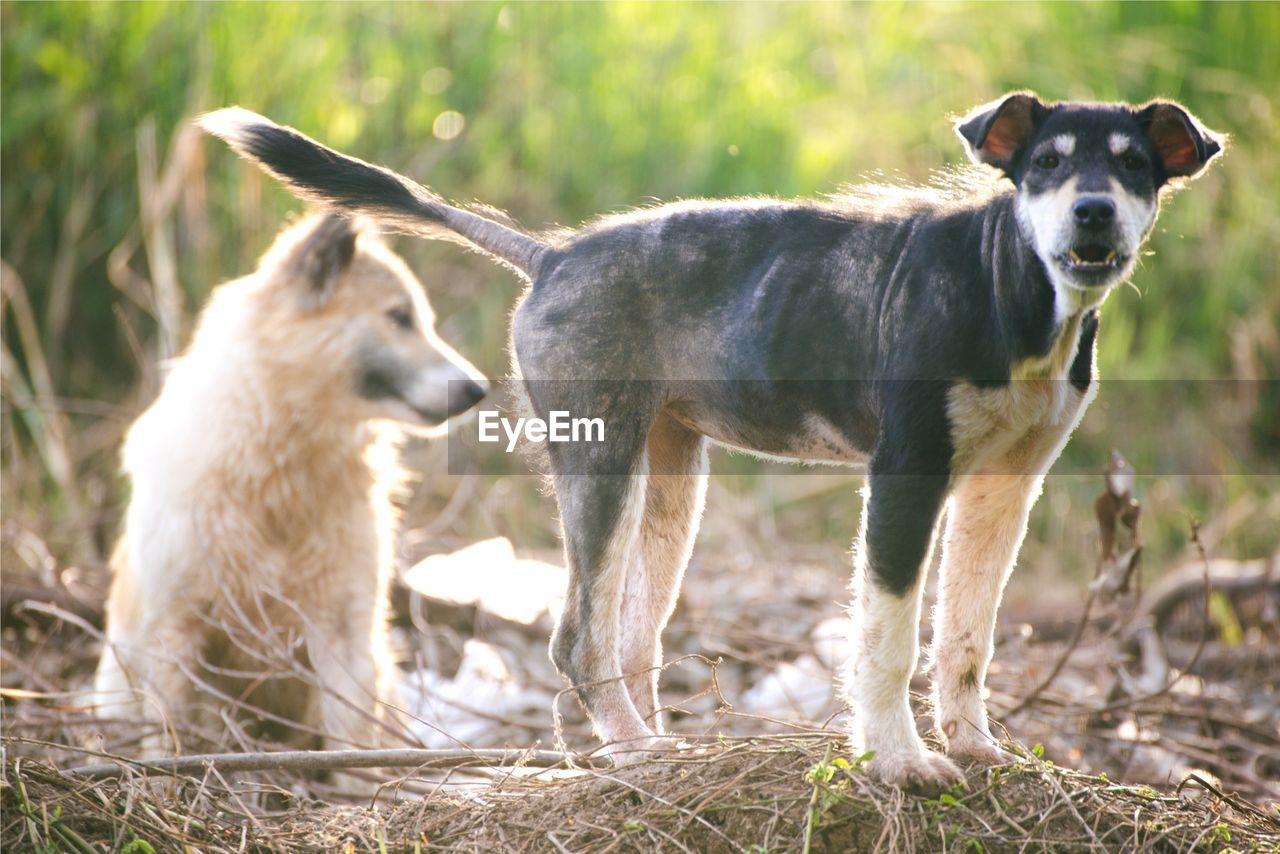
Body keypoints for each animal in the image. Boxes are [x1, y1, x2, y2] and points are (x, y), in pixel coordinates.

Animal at [93, 212, 483, 752]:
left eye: (419, 318)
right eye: (399, 317)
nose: (478, 389)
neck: (281, 472)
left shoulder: (343, 634)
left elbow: (350, 747)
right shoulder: (173, 632)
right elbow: (171, 738)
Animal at [202, 90, 1218, 793]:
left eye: (1133, 168)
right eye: (1045, 164)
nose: (1093, 213)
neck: (1008, 291)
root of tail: (549, 256)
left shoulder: (1005, 487)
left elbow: (966, 638)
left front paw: (977, 750)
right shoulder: (903, 479)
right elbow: (888, 642)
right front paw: (902, 763)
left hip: (669, 486)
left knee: (626, 641)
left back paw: (635, 751)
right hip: (602, 465)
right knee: (575, 641)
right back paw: (635, 757)